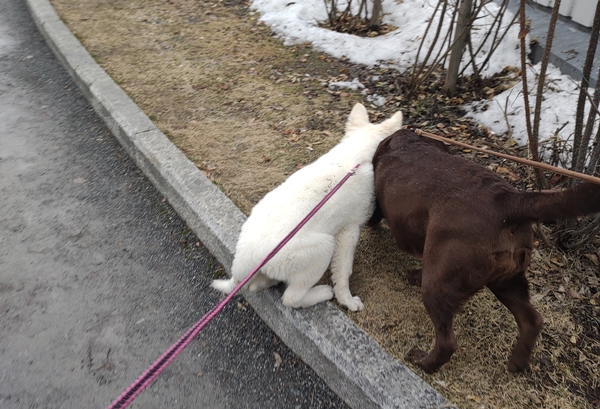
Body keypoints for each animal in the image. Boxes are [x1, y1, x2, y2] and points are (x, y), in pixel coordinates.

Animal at [211, 103, 404, 310]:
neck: (357, 153)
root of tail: (244, 259)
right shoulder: (349, 230)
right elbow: (344, 271)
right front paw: (348, 301)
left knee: (257, 286)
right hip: (323, 247)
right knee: (290, 299)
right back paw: (323, 293)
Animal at [370, 128, 600, 372]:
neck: (410, 142)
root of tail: (509, 202)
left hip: (440, 281)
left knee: (447, 342)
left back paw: (422, 362)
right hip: (506, 280)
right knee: (532, 320)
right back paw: (517, 363)